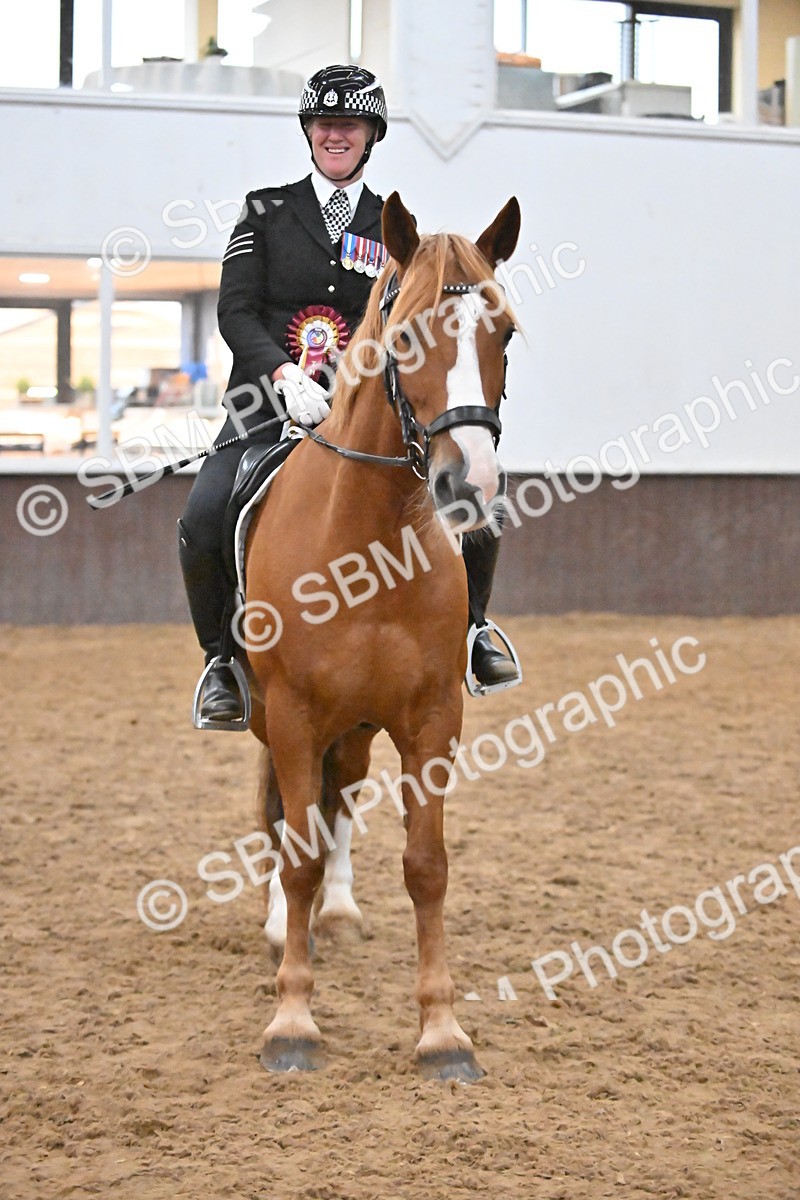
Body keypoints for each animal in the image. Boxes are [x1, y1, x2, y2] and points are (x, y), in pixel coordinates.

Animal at [243, 191, 521, 1081]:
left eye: (505, 332)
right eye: (404, 335)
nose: (470, 485)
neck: (366, 540)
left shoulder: (431, 717)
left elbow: (426, 866)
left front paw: (442, 1031)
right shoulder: (293, 712)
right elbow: (293, 847)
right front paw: (293, 1021)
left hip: (359, 724)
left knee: (340, 795)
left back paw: (336, 911)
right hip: (273, 714)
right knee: (282, 813)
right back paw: (283, 925)